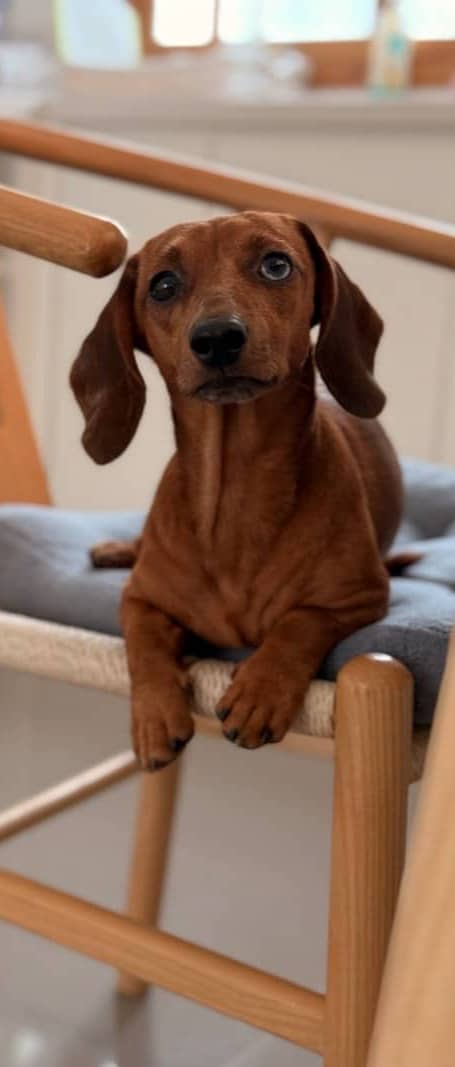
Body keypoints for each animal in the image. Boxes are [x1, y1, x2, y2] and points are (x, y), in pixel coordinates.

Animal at [69, 212, 401, 772]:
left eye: (276, 264)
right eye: (163, 285)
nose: (218, 338)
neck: (235, 495)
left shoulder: (360, 597)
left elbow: (300, 622)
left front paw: (261, 690)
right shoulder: (139, 599)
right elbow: (144, 643)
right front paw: (154, 713)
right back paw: (116, 548)